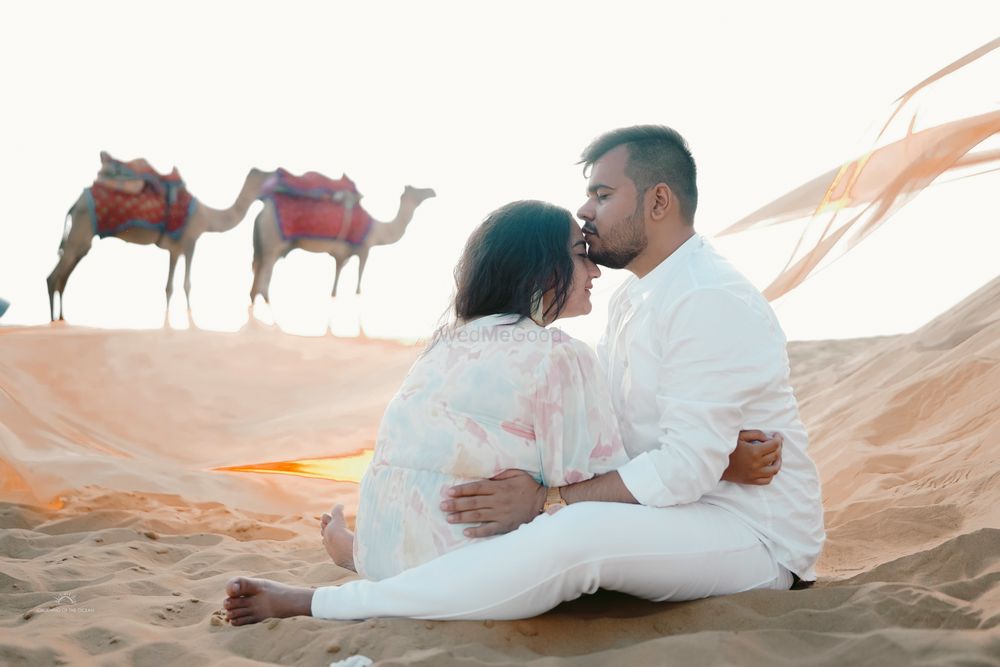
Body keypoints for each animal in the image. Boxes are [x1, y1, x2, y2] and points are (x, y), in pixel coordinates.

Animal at [48, 157, 272, 324]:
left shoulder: (175, 249)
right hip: (81, 230)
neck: (207, 216)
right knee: (53, 277)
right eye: (267, 175)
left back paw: (61, 318)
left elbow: (170, 287)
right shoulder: (190, 242)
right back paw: (53, 321)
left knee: (62, 278)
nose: (276, 177)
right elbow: (186, 285)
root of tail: (75, 204)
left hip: (82, 240)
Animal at [250, 172, 434, 308]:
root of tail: (262, 212)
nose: (432, 191)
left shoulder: (342, 254)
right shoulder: (364, 249)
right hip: (272, 240)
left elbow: (337, 280)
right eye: (417, 190)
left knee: (260, 272)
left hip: (269, 244)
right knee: (265, 273)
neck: (377, 230)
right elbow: (358, 280)